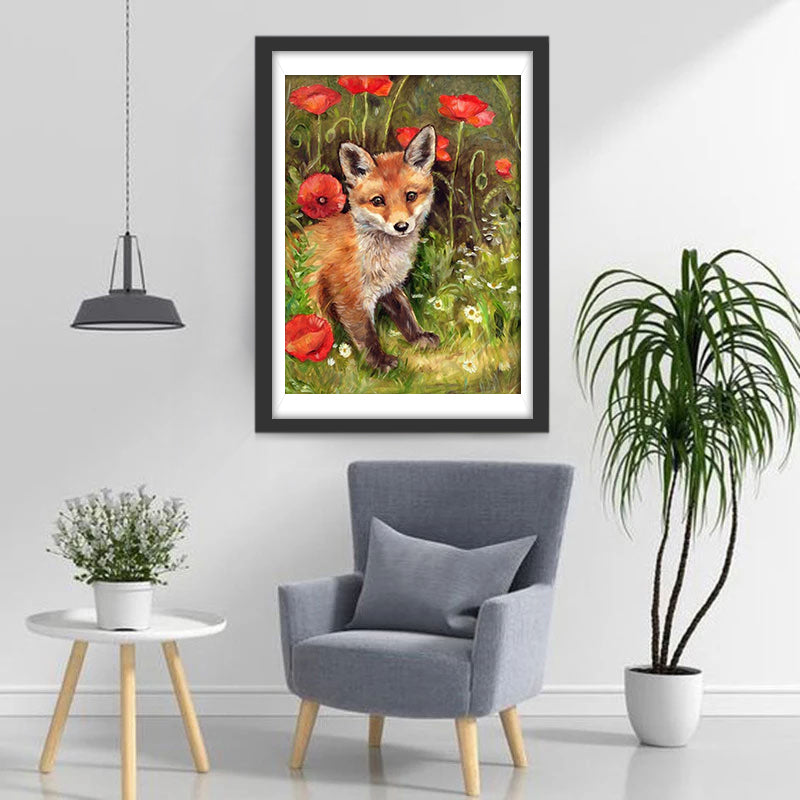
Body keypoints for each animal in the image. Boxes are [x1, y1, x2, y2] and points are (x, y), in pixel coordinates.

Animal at [306, 125, 441, 372]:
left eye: (411, 196)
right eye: (378, 201)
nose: (401, 226)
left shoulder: (389, 286)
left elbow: (405, 313)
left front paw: (418, 337)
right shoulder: (349, 295)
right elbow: (366, 334)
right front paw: (379, 362)